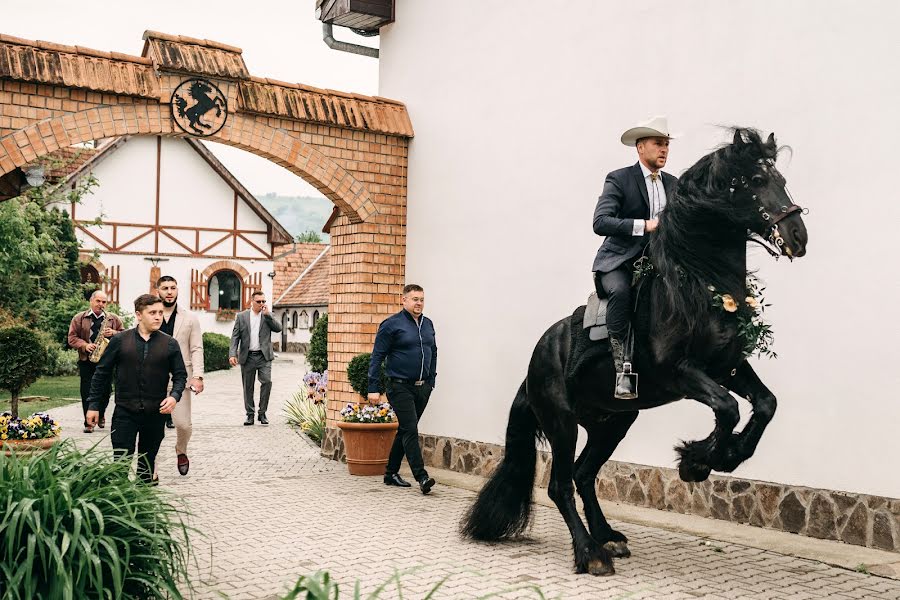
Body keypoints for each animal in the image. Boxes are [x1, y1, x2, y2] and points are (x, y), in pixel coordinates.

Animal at [460, 127, 812, 576]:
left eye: (780, 180)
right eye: (755, 181)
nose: (798, 237)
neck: (701, 282)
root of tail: (536, 359)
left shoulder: (728, 366)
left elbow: (765, 405)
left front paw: (727, 456)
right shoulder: (680, 371)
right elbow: (728, 408)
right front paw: (696, 461)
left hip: (612, 422)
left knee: (583, 474)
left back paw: (607, 537)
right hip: (562, 422)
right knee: (560, 484)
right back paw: (591, 553)